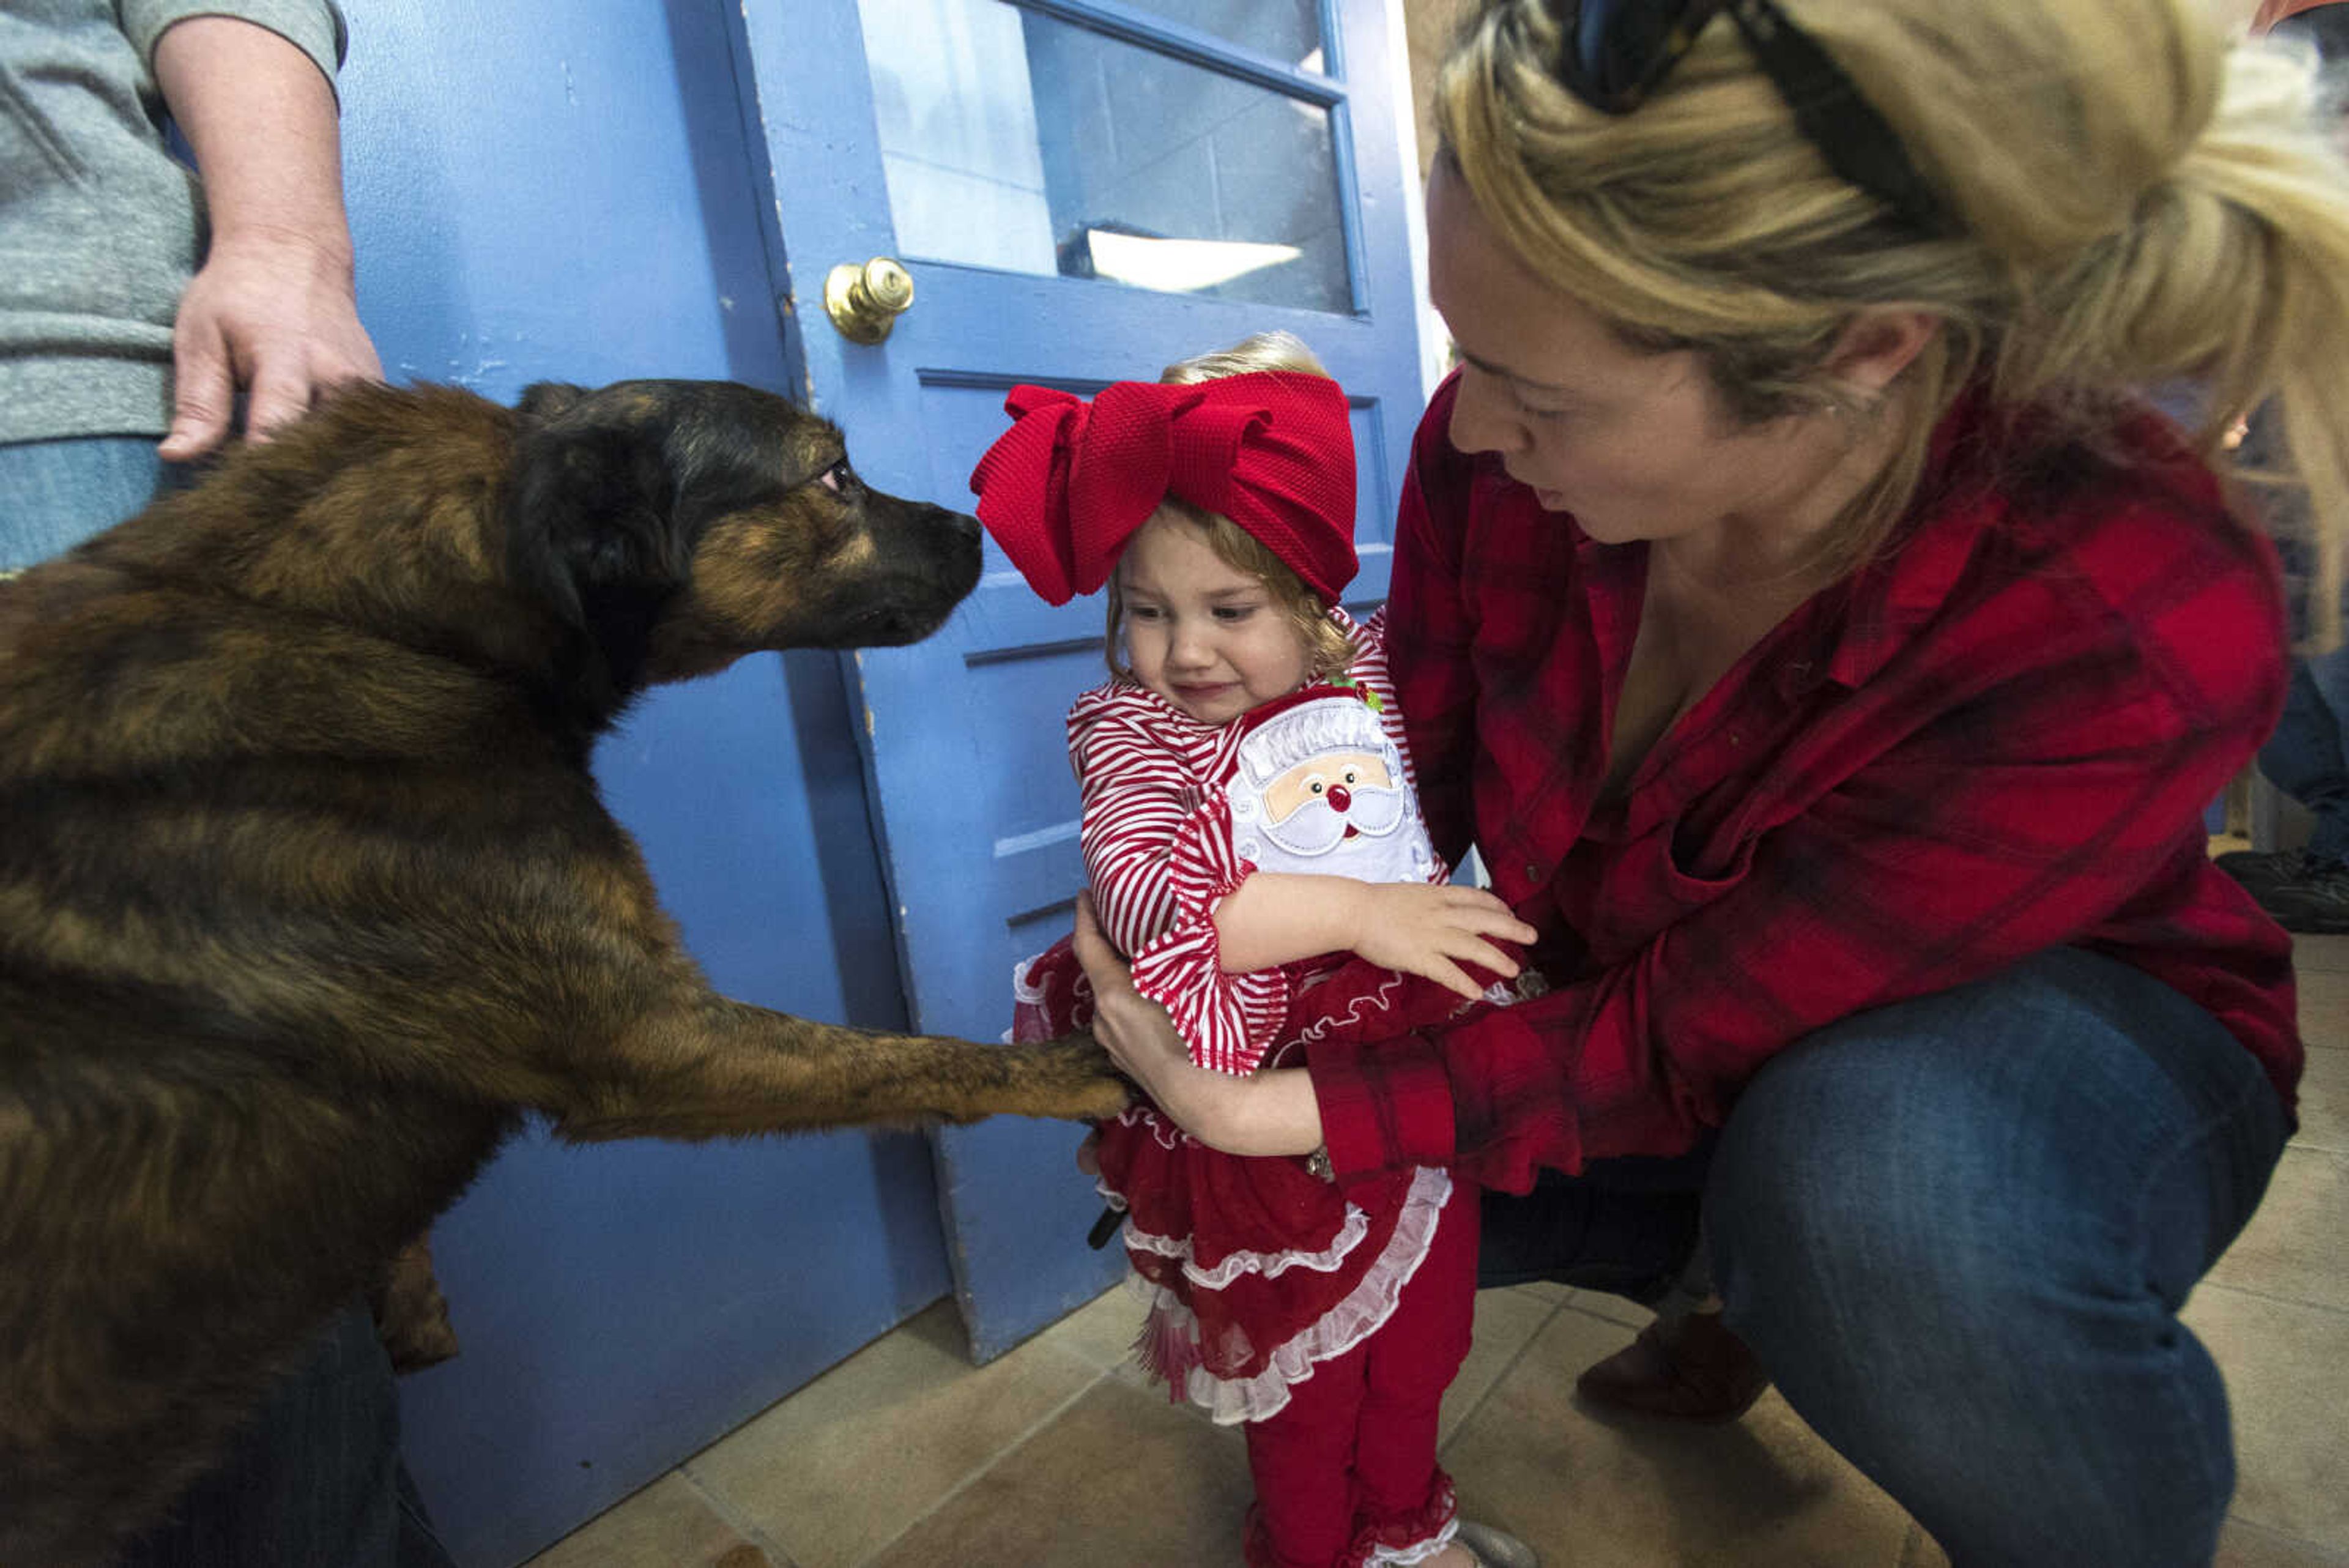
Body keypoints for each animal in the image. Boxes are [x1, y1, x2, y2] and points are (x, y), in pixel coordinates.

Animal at [0, 383, 1127, 1568]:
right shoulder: (650, 1037)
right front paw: (1074, 1066)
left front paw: (408, 1289)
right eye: (833, 476)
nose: (977, 527)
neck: (411, 632)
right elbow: (905, 1058)